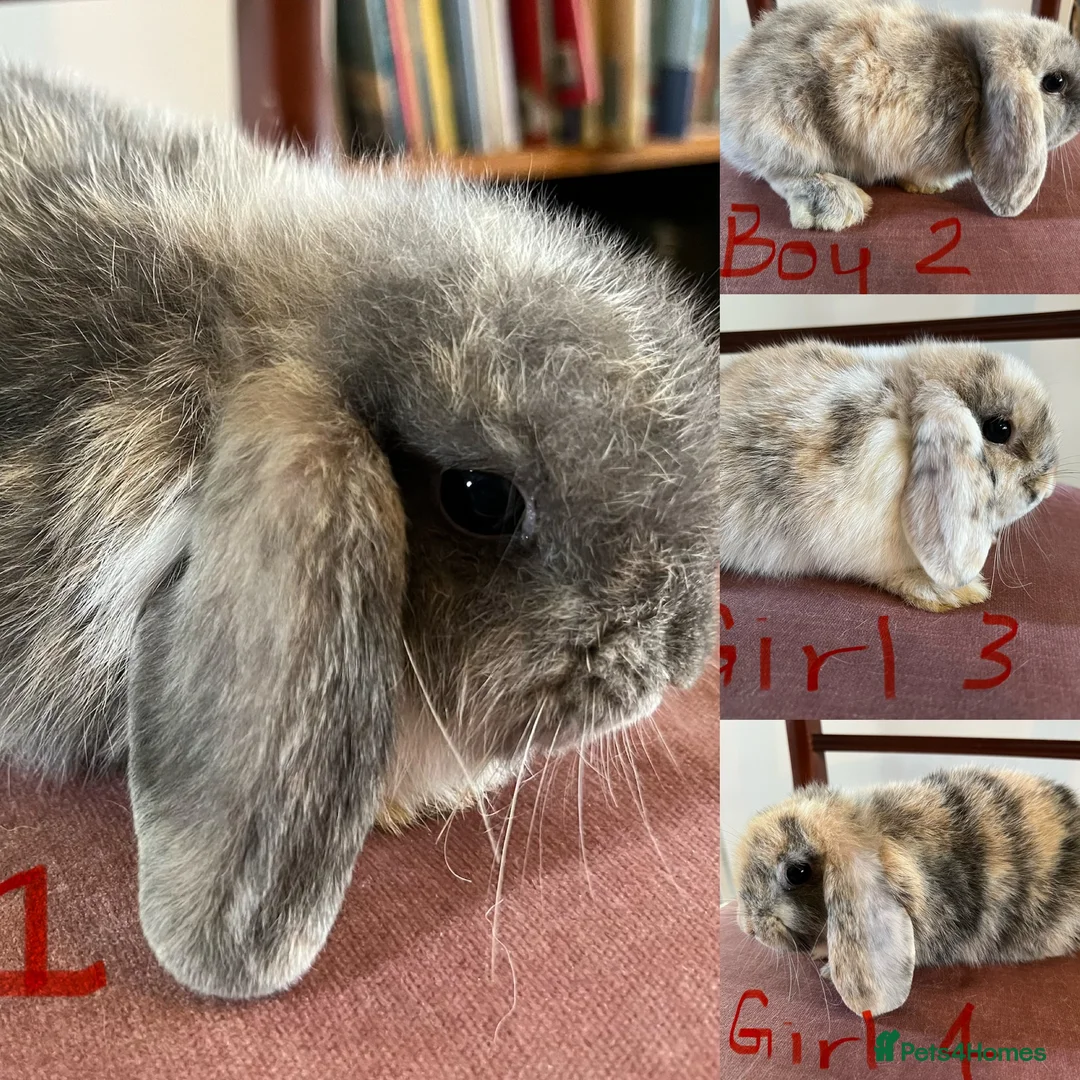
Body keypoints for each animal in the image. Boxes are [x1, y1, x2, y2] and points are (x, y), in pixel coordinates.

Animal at [719, 0, 1080, 230]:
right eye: (1055, 82)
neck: (977, 81)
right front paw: (930, 187)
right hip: (789, 127)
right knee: (779, 174)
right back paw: (836, 206)